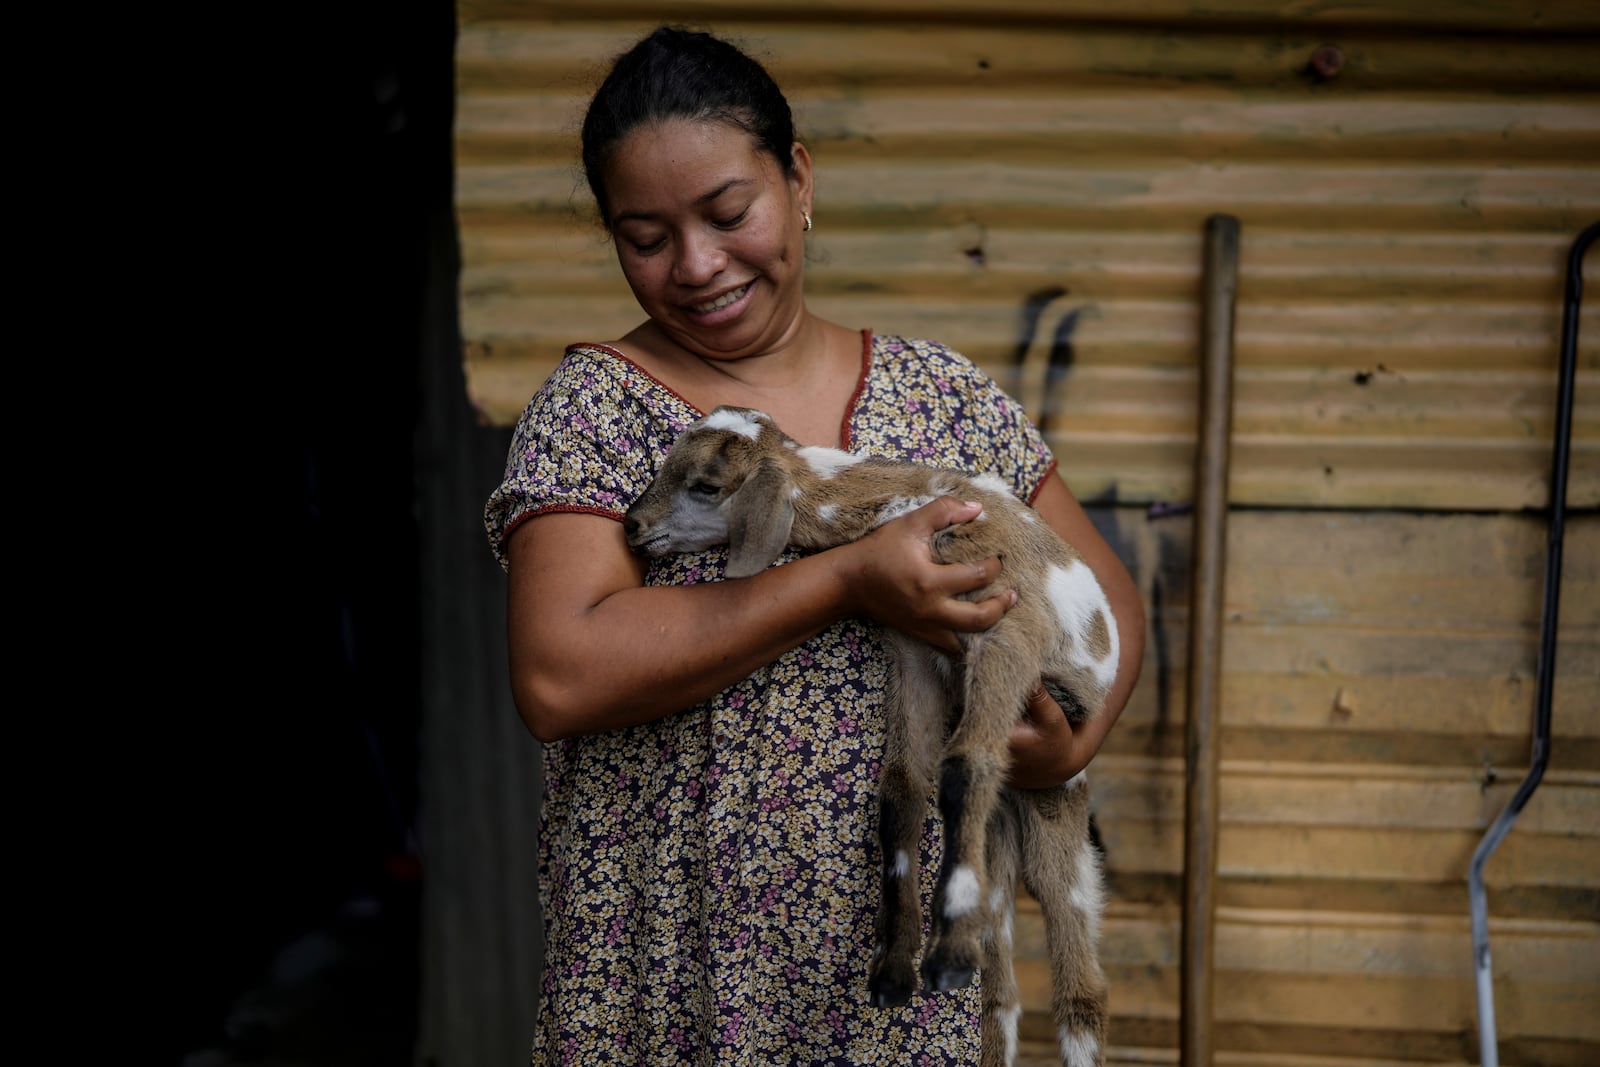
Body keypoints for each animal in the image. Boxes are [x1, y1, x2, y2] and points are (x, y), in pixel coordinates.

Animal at [617, 409, 1120, 1067]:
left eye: (705, 485)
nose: (632, 525)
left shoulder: (1005, 620)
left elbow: (967, 766)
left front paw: (945, 957)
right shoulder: (914, 647)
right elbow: (901, 791)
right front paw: (893, 971)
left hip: (1060, 806)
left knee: (1081, 988)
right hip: (1002, 846)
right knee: (1000, 1002)